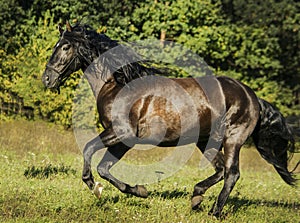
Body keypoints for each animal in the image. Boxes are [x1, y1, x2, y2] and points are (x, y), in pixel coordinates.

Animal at [42, 21, 298, 217]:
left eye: (65, 47)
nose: (46, 79)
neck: (117, 84)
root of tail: (252, 97)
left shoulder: (122, 133)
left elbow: (88, 150)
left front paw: (94, 187)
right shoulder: (123, 140)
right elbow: (104, 167)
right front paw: (139, 191)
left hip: (233, 138)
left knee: (231, 173)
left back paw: (214, 211)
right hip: (206, 141)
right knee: (220, 171)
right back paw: (196, 197)